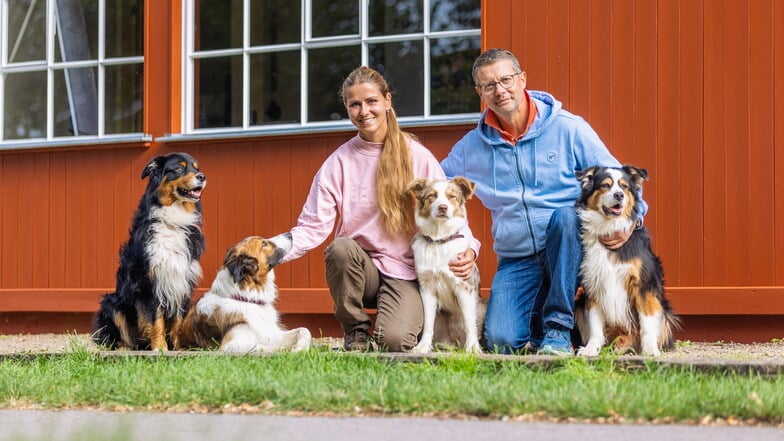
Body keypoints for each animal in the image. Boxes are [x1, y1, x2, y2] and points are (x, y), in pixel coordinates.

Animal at [91, 153, 207, 348]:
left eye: (196, 168)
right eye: (179, 168)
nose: (202, 177)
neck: (172, 222)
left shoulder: (182, 280)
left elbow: (178, 320)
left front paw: (178, 347)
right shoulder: (148, 281)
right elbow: (155, 319)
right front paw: (160, 348)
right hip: (111, 302)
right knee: (120, 338)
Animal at [173, 232, 310, 352]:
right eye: (264, 244)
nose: (290, 234)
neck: (247, 299)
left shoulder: (271, 335)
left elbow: (304, 330)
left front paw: (299, 348)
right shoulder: (230, 346)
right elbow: (263, 347)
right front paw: (288, 350)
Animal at [408, 177, 480, 352]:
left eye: (451, 196)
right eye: (432, 196)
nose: (443, 207)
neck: (438, 240)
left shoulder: (464, 287)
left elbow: (469, 322)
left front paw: (473, 348)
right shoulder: (427, 289)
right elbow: (428, 323)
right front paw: (423, 346)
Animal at [572, 163, 676, 356]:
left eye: (624, 187)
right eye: (605, 185)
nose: (619, 195)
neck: (609, 228)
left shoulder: (643, 286)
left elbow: (646, 323)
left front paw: (650, 350)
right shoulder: (593, 284)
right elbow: (595, 325)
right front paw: (591, 349)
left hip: (664, 311)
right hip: (579, 305)